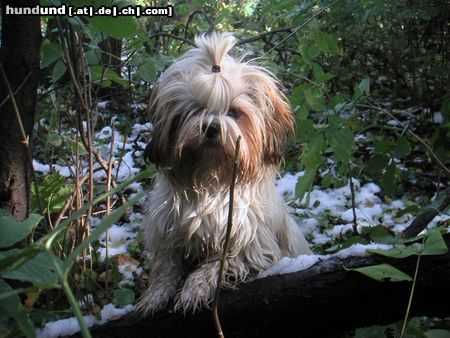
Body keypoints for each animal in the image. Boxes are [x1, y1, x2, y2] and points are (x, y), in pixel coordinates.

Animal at [137, 31, 312, 314]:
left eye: (234, 112)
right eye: (195, 109)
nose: (210, 127)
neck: (211, 181)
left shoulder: (252, 242)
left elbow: (221, 261)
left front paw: (194, 289)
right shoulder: (167, 228)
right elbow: (166, 263)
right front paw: (155, 295)